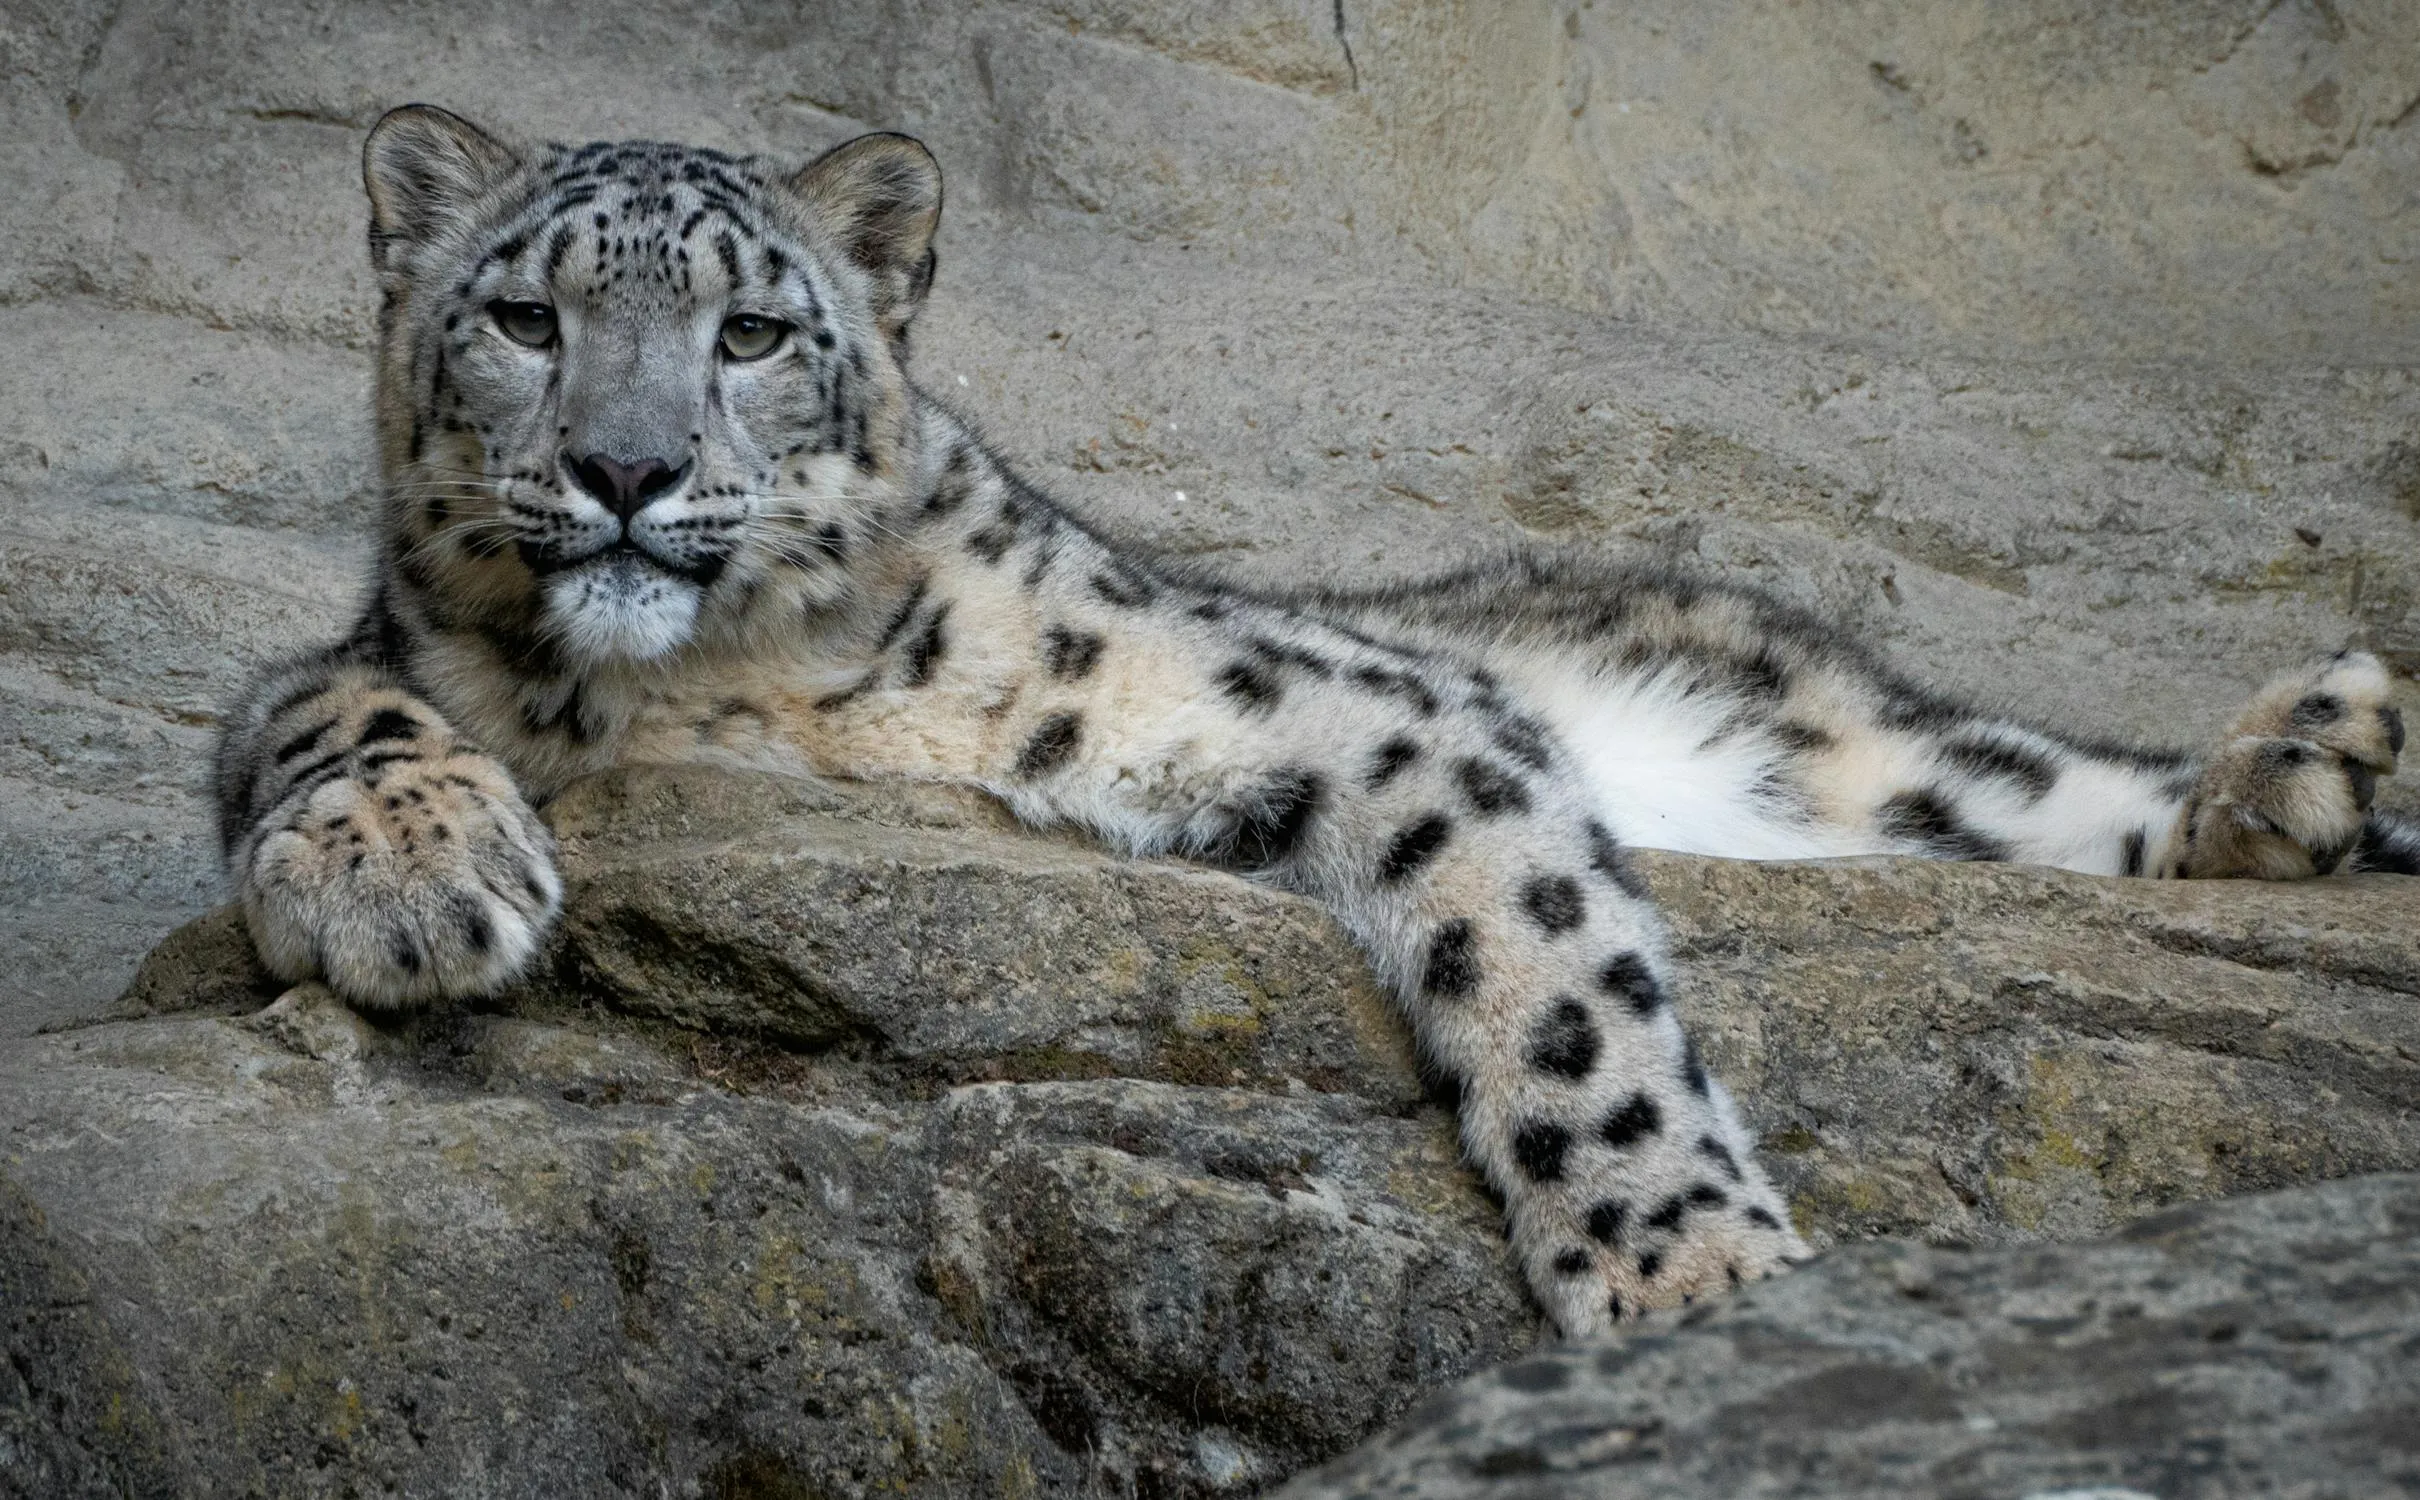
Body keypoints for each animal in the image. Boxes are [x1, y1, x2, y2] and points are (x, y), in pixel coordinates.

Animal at [213, 105, 2416, 1342]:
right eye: (525, 318)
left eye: (752, 332)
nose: (624, 471)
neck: (718, 686)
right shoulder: (378, 657)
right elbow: (320, 705)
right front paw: (407, 880)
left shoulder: (1359, 703)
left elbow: (1554, 981)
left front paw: (1684, 1273)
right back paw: (2302, 781)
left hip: (1874, 748)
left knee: (2055, 788)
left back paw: (2303, 752)